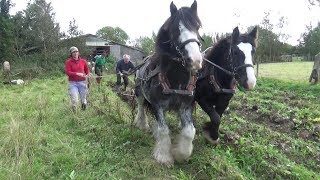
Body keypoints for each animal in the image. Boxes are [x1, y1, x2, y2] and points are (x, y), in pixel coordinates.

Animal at [135, 0, 202, 166]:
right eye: (176, 29)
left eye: (197, 27)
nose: (195, 60)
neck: (175, 79)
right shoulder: (157, 105)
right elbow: (164, 130)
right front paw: (164, 156)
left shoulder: (185, 106)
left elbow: (189, 131)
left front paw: (181, 154)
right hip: (139, 93)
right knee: (141, 108)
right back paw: (142, 124)